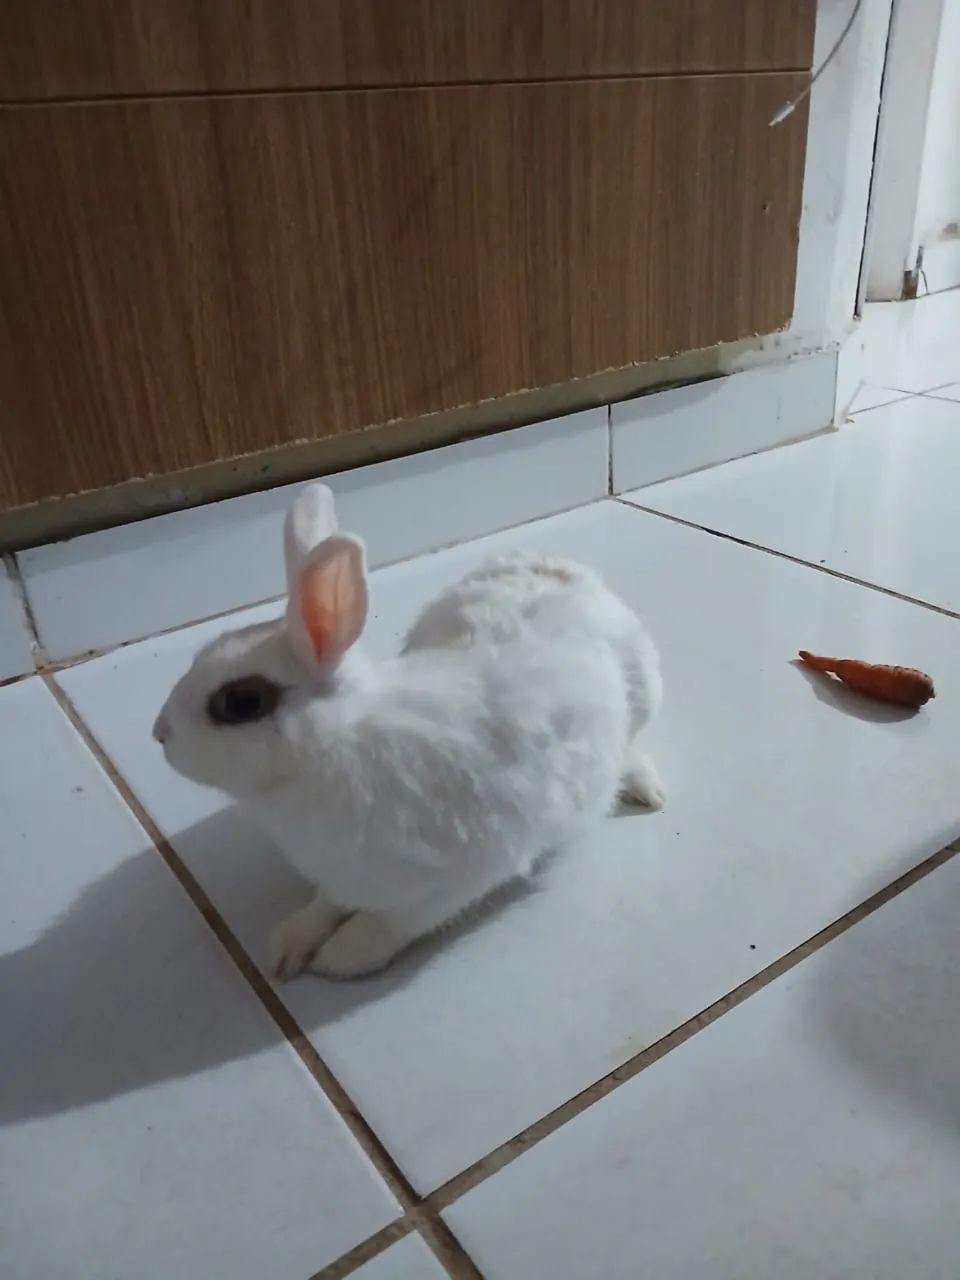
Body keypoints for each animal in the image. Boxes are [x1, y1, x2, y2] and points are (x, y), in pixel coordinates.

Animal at [153, 483, 665, 981]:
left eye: (241, 703)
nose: (160, 733)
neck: (336, 747)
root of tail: (553, 564)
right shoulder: (339, 877)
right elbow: (324, 906)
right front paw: (288, 947)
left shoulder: (458, 878)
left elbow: (390, 923)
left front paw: (341, 958)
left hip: (641, 692)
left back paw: (644, 789)